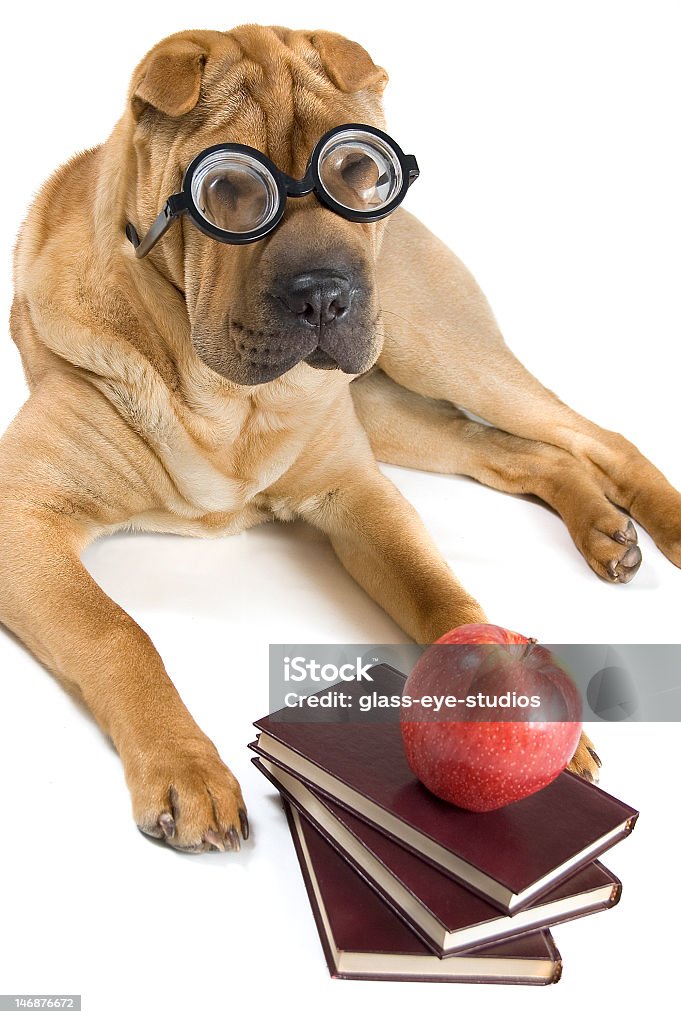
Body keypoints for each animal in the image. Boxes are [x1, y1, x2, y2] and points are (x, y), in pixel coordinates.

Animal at [2, 28, 675, 851]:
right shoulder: (24, 514)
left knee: (597, 435)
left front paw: (503, 694)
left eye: (357, 172)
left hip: (433, 351)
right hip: (391, 410)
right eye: (227, 188)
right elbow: (117, 632)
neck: (226, 400)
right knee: (512, 451)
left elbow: (439, 590)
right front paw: (187, 768)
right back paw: (607, 528)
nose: (326, 294)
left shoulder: (355, 491)